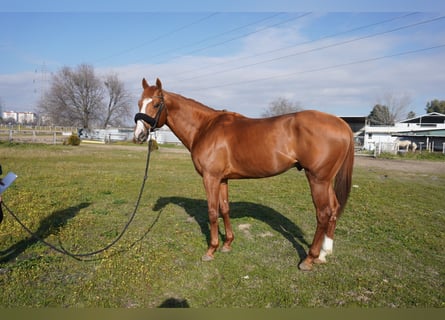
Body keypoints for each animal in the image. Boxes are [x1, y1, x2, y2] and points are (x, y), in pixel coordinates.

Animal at [134, 77, 352, 270]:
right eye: (139, 103)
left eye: (156, 104)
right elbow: (224, 208)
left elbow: (212, 212)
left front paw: (211, 250)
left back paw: (309, 259)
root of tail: (341, 124)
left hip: (317, 179)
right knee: (334, 209)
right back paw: (323, 254)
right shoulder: (222, 179)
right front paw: (227, 244)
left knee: (323, 213)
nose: (139, 135)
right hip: (326, 180)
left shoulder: (210, 178)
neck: (205, 128)